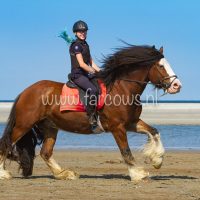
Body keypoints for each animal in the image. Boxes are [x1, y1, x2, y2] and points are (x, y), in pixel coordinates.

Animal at [0, 44, 181, 182]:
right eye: (160, 66)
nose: (177, 85)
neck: (122, 89)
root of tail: (25, 91)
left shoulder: (131, 123)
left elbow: (154, 131)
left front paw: (157, 160)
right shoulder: (117, 127)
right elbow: (126, 151)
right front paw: (137, 174)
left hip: (50, 127)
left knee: (45, 152)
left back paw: (64, 174)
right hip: (23, 125)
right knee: (6, 143)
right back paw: (4, 173)